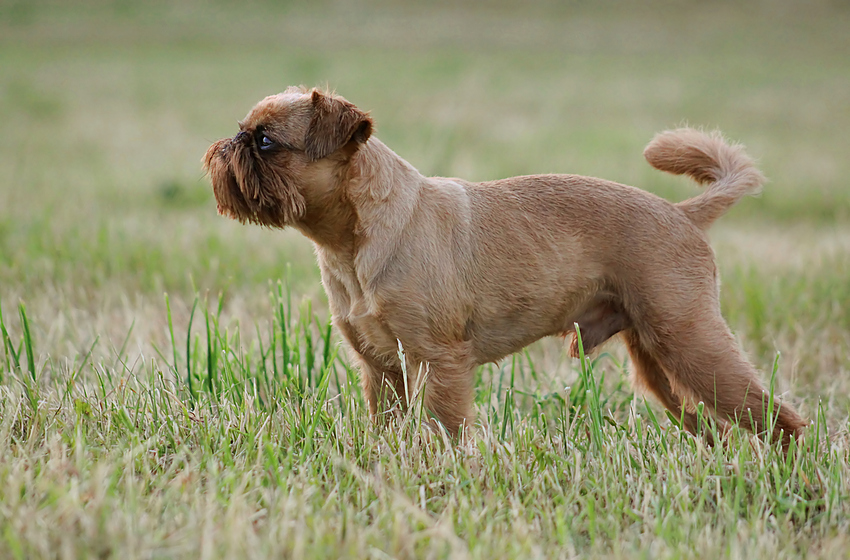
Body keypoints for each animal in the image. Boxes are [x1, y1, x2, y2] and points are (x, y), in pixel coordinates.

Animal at [202, 87, 804, 446]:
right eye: (245, 130)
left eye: (265, 141)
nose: (225, 145)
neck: (353, 243)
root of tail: (682, 213)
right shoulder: (382, 370)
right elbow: (389, 428)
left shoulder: (438, 363)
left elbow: (446, 428)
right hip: (656, 358)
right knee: (705, 421)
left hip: (690, 339)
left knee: (773, 413)